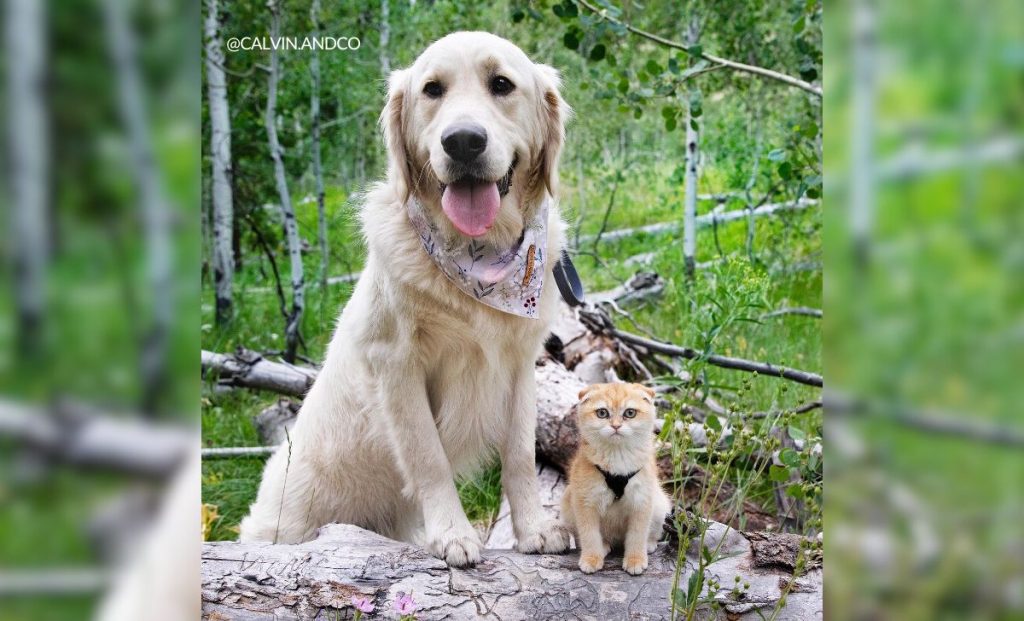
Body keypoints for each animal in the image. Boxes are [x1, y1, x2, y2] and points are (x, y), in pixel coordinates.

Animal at [241, 34, 577, 569]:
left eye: (502, 84)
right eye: (432, 90)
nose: (463, 141)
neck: (477, 257)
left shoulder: (521, 365)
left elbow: (522, 456)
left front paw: (535, 529)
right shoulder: (397, 365)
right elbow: (428, 458)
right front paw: (453, 534)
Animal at [561, 381, 671, 577]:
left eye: (630, 412)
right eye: (602, 413)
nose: (616, 426)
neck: (617, 457)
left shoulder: (641, 502)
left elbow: (637, 535)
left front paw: (635, 560)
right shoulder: (585, 503)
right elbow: (589, 535)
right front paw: (591, 558)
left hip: (660, 505)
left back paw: (648, 545)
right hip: (568, 506)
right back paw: (603, 546)